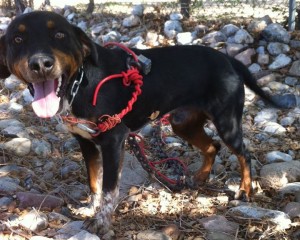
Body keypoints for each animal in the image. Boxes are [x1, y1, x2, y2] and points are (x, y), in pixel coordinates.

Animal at [0, 10, 282, 234]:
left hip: (226, 121)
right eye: (17, 39)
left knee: (243, 152)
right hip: (183, 122)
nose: (40, 64)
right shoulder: (86, 141)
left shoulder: (114, 140)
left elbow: (109, 189)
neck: (82, 84)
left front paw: (102, 222)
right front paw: (92, 208)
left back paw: (245, 189)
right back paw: (199, 178)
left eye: (59, 35)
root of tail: (228, 59)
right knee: (213, 146)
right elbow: (94, 182)